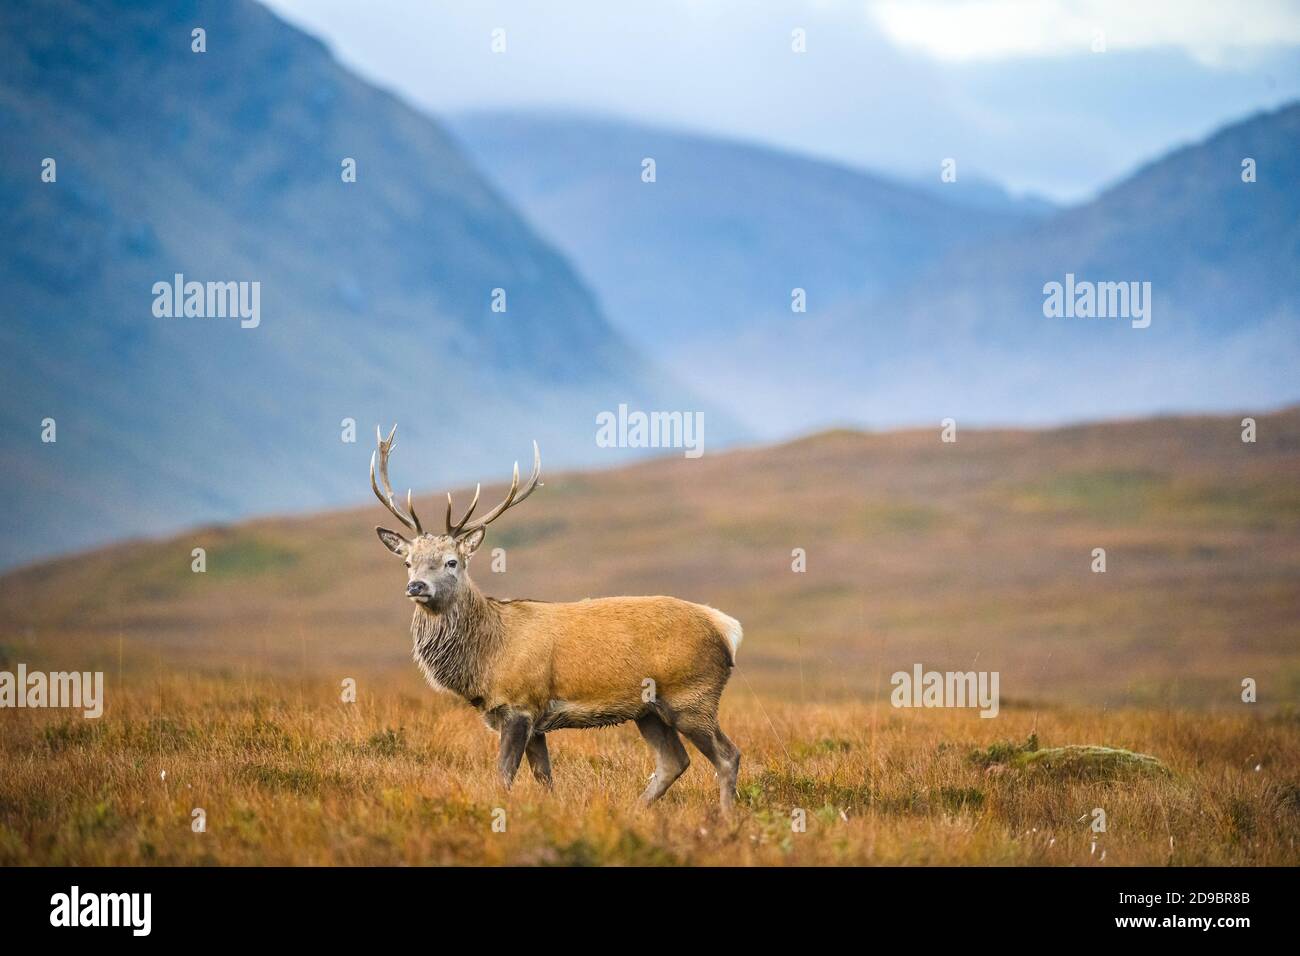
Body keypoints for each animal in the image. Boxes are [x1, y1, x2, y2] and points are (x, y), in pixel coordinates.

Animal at [369, 426, 744, 811]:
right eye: (408, 561)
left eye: (451, 562)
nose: (416, 586)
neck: (486, 658)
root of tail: (726, 627)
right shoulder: (533, 721)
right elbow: (544, 777)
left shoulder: (520, 704)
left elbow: (504, 775)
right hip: (650, 712)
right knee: (673, 761)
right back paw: (635, 810)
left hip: (693, 696)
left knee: (728, 756)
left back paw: (724, 816)